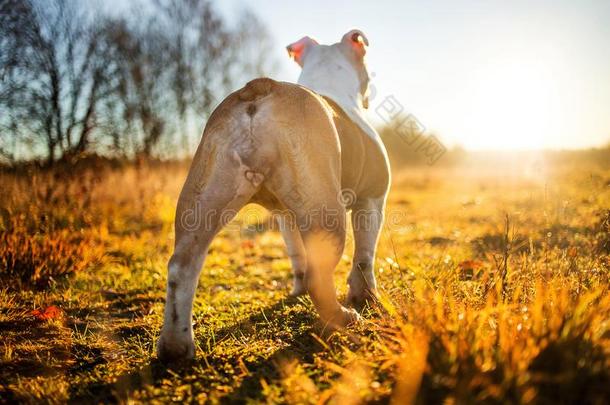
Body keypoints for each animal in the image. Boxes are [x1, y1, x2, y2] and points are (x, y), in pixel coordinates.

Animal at [157, 30, 390, 362]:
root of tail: (261, 89)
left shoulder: (285, 216)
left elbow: (297, 254)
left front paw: (297, 289)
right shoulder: (372, 201)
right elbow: (365, 257)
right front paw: (367, 297)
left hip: (203, 199)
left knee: (182, 266)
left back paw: (175, 347)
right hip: (327, 213)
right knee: (321, 273)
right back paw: (342, 318)